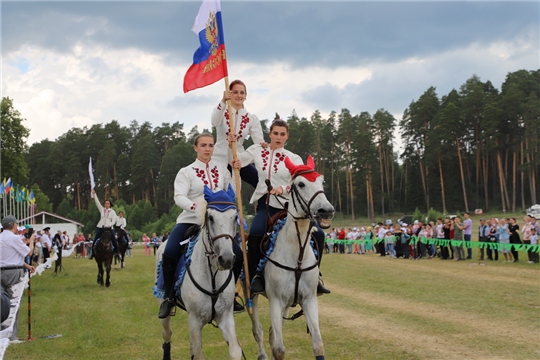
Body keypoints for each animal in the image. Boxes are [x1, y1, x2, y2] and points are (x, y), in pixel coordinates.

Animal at [155, 186, 242, 360]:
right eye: (210, 217)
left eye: (234, 216)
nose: (226, 259)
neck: (212, 275)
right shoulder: (194, 321)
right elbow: (198, 352)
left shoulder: (225, 317)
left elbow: (235, 351)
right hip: (164, 309)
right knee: (167, 334)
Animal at [247, 157, 336, 360]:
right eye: (301, 184)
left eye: (322, 182)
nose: (326, 211)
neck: (297, 253)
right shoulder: (276, 302)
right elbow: (279, 349)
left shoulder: (309, 300)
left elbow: (318, 345)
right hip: (253, 297)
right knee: (258, 332)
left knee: (271, 334)